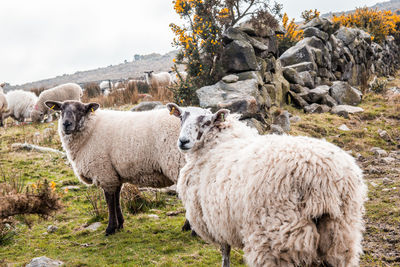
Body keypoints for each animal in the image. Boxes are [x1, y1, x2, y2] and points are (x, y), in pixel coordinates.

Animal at [43, 101, 186, 237]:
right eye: (61, 109)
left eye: (80, 110)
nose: (66, 124)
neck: (91, 129)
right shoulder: (114, 174)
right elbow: (116, 199)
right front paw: (120, 225)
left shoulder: (105, 173)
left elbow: (109, 201)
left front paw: (110, 228)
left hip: (178, 163)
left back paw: (187, 227)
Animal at [167, 103, 368, 267]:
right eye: (181, 117)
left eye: (206, 122)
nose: (183, 141)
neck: (215, 145)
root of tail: (322, 175)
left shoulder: (218, 221)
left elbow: (225, 253)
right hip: (341, 232)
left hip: (276, 238)